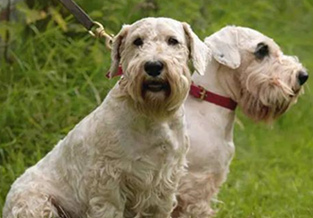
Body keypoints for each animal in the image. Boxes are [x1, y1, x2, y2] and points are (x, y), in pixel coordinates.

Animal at [3, 17, 207, 218]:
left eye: (173, 41)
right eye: (137, 41)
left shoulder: (163, 184)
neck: (152, 115)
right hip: (36, 204)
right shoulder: (108, 181)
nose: (153, 66)